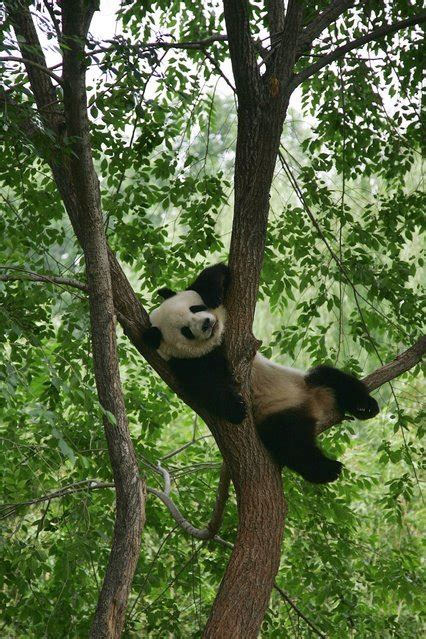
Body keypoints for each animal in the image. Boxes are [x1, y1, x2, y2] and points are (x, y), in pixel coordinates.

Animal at [143, 262, 380, 482]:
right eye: (186, 331)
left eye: (194, 308)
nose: (207, 324)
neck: (216, 341)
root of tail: (316, 407)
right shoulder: (187, 363)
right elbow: (208, 385)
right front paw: (235, 408)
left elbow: (215, 273)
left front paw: (212, 293)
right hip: (276, 413)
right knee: (290, 442)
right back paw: (327, 469)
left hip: (308, 383)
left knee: (331, 378)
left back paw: (365, 406)